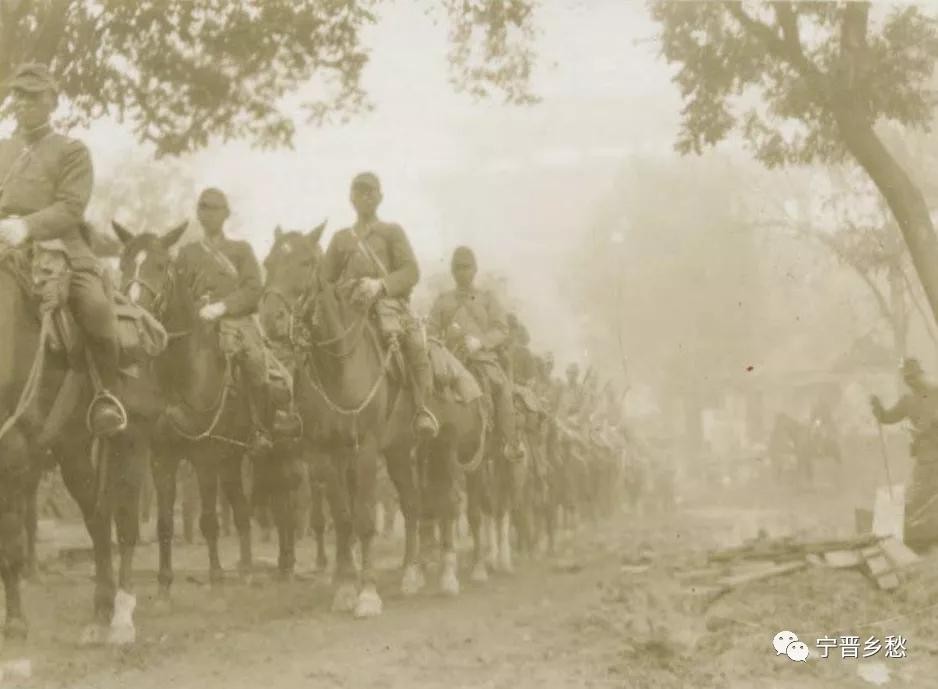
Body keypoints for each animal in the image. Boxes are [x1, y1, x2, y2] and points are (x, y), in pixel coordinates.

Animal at [0, 240, 158, 645]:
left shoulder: (14, 453)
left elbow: (10, 535)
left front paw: (16, 620)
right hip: (81, 453)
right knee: (99, 518)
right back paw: (103, 607)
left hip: (129, 445)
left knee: (123, 525)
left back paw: (120, 615)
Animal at [260, 226, 423, 617]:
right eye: (268, 263)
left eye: (306, 262)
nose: (271, 319)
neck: (340, 367)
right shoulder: (324, 453)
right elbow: (344, 517)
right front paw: (347, 587)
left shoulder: (366, 448)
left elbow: (363, 518)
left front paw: (368, 593)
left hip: (399, 450)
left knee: (411, 504)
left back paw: (412, 573)